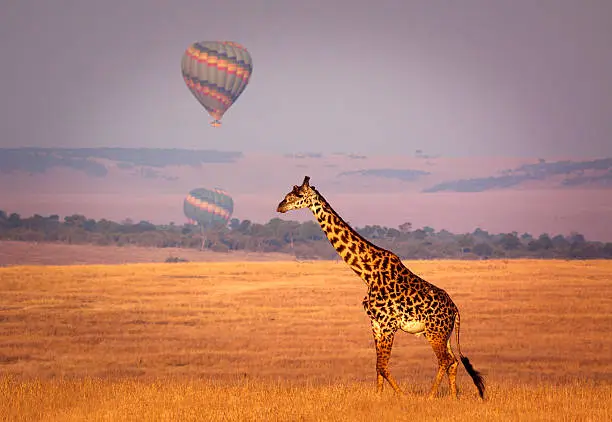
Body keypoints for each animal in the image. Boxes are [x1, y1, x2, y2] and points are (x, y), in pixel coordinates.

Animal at [280, 175, 486, 398]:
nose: (280, 206)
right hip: (443, 334)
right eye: (288, 193)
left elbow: (384, 366)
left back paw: (430, 396)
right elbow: (378, 365)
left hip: (435, 333)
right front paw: (379, 396)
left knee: (445, 360)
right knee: (454, 361)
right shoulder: (375, 323)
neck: (367, 273)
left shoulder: (388, 324)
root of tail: (455, 310)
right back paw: (453, 397)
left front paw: (402, 396)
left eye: (298, 194)